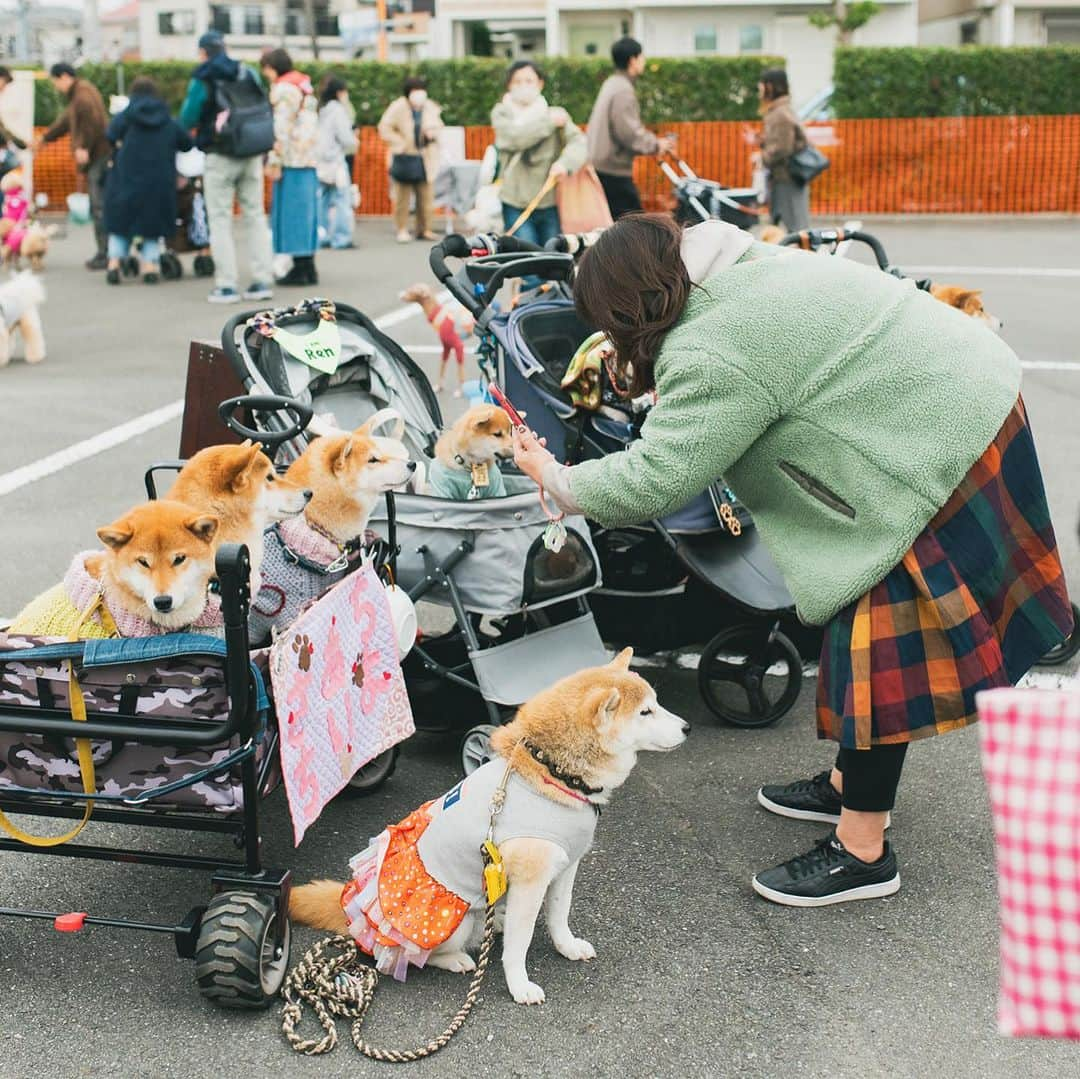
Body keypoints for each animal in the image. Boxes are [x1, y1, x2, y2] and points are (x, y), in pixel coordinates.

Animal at [291, 652, 686, 1006]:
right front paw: (520, 986)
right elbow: (519, 944)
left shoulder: (565, 865)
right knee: (411, 958)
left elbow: (559, 915)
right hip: (452, 921)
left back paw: (496, 923)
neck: (553, 772)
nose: (687, 728)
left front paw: (567, 946)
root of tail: (353, 911)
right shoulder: (531, 880)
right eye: (645, 712)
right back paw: (456, 959)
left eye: (657, 703)